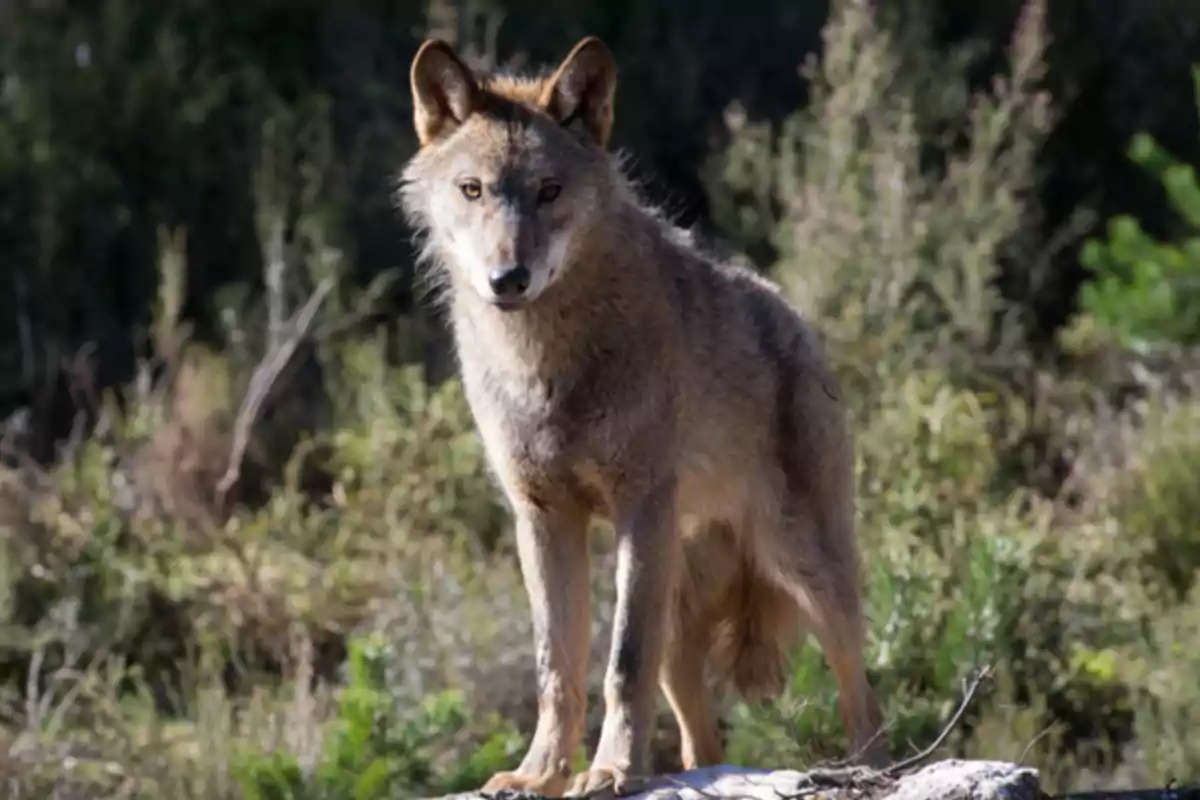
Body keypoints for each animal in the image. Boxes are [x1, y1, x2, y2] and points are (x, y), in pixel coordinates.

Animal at [398, 34, 888, 796]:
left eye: (550, 191)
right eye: (472, 189)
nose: (508, 279)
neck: (546, 364)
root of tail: (795, 319)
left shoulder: (640, 508)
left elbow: (620, 663)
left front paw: (610, 771)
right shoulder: (542, 519)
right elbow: (557, 667)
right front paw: (539, 774)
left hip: (805, 567)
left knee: (862, 698)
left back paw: (869, 767)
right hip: (683, 618)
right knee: (700, 741)